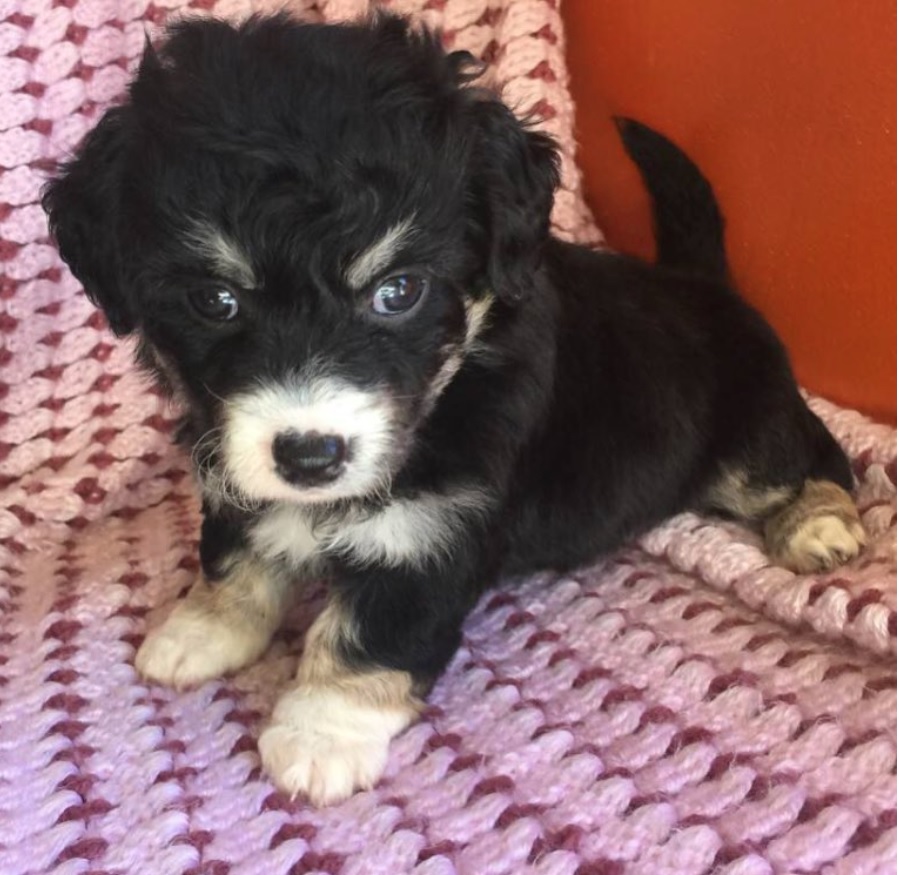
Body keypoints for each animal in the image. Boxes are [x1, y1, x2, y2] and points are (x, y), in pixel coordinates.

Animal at [42, 13, 864, 808]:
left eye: (398, 290)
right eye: (215, 300)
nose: (309, 456)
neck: (451, 384)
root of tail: (701, 283)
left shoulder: (431, 534)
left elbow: (369, 633)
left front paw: (320, 735)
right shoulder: (235, 470)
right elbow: (234, 555)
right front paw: (200, 630)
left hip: (750, 428)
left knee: (814, 454)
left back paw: (818, 525)